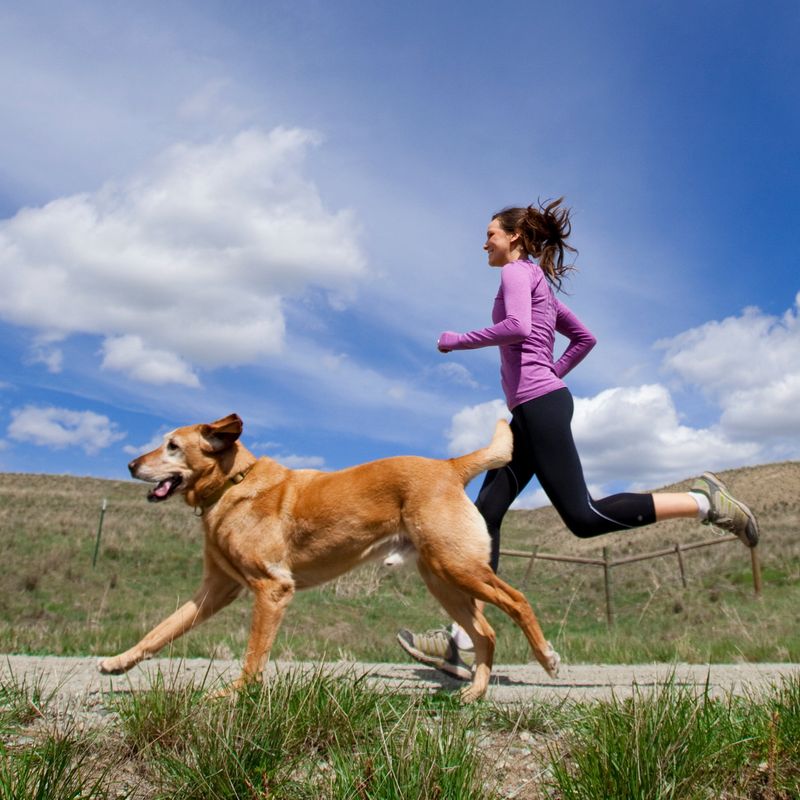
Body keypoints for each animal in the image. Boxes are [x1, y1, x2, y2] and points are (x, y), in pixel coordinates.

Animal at [100, 412, 560, 700]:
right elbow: (160, 632)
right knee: (486, 632)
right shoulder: (215, 590)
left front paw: (234, 697)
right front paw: (119, 662)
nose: (129, 464)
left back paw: (545, 658)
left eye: (172, 446)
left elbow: (253, 656)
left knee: (517, 601)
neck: (233, 484)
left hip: (458, 568)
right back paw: (476, 692)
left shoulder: (272, 588)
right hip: (443, 581)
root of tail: (449, 465)